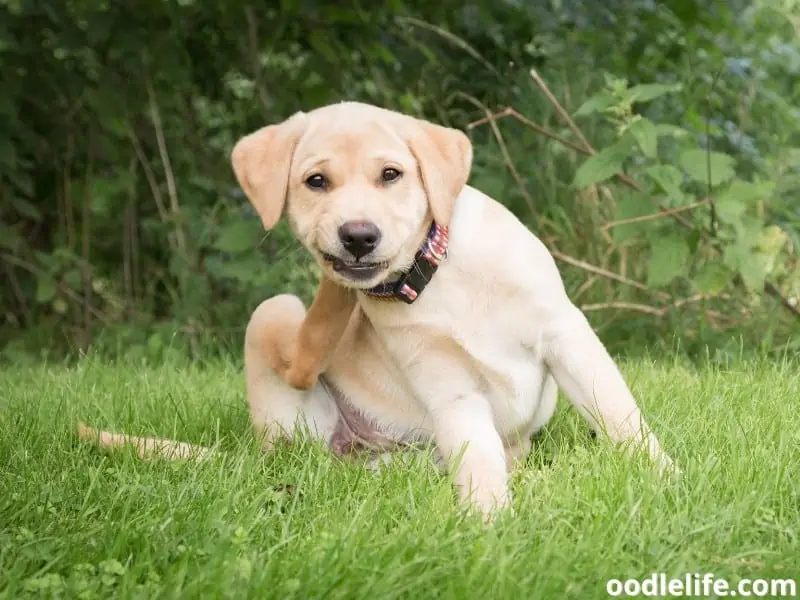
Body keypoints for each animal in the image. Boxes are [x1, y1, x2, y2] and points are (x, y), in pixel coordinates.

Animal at [233, 102, 676, 516]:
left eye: (391, 174)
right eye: (316, 181)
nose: (358, 236)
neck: (434, 274)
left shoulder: (565, 334)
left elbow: (619, 413)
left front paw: (664, 477)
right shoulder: (449, 386)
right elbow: (476, 455)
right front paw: (490, 519)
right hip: (277, 322)